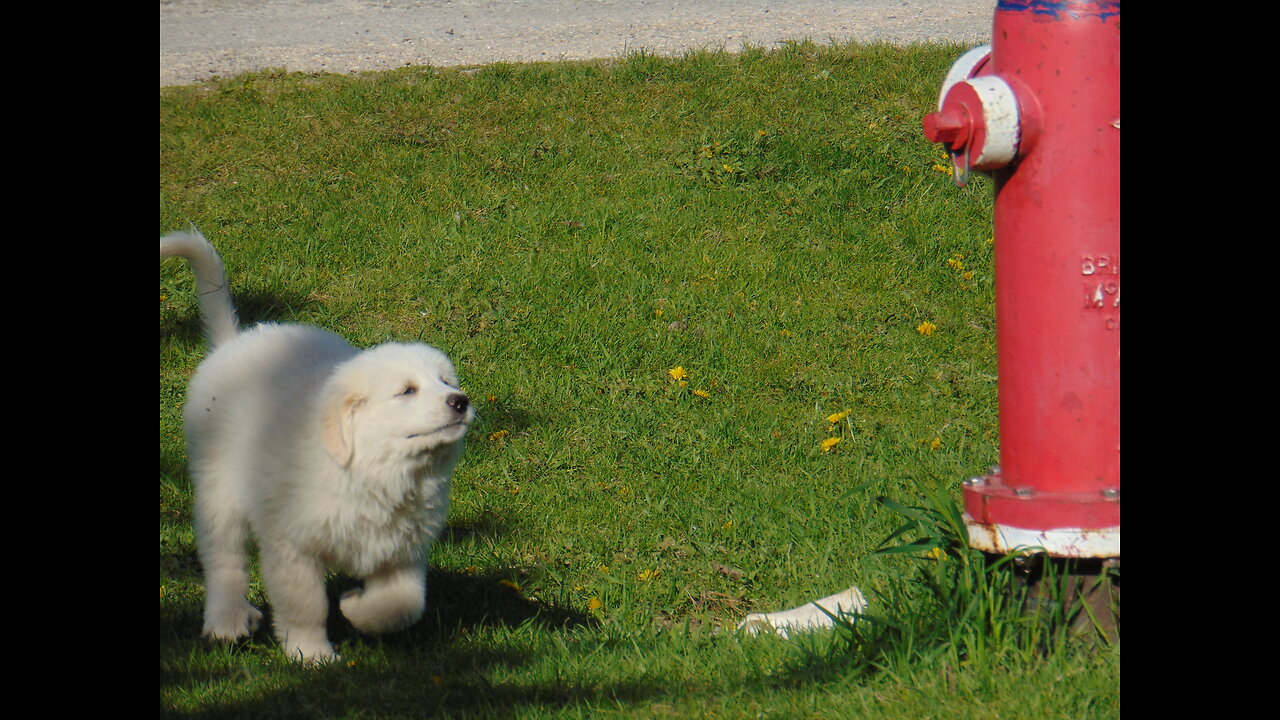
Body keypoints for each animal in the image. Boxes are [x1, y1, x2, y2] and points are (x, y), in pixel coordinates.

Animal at [162, 228, 473, 661]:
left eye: (446, 381)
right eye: (407, 391)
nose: (460, 401)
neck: (374, 472)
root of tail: (233, 343)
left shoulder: (403, 547)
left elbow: (403, 603)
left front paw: (355, 607)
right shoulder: (292, 546)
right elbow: (305, 604)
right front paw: (312, 654)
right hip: (216, 486)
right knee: (224, 558)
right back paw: (227, 620)